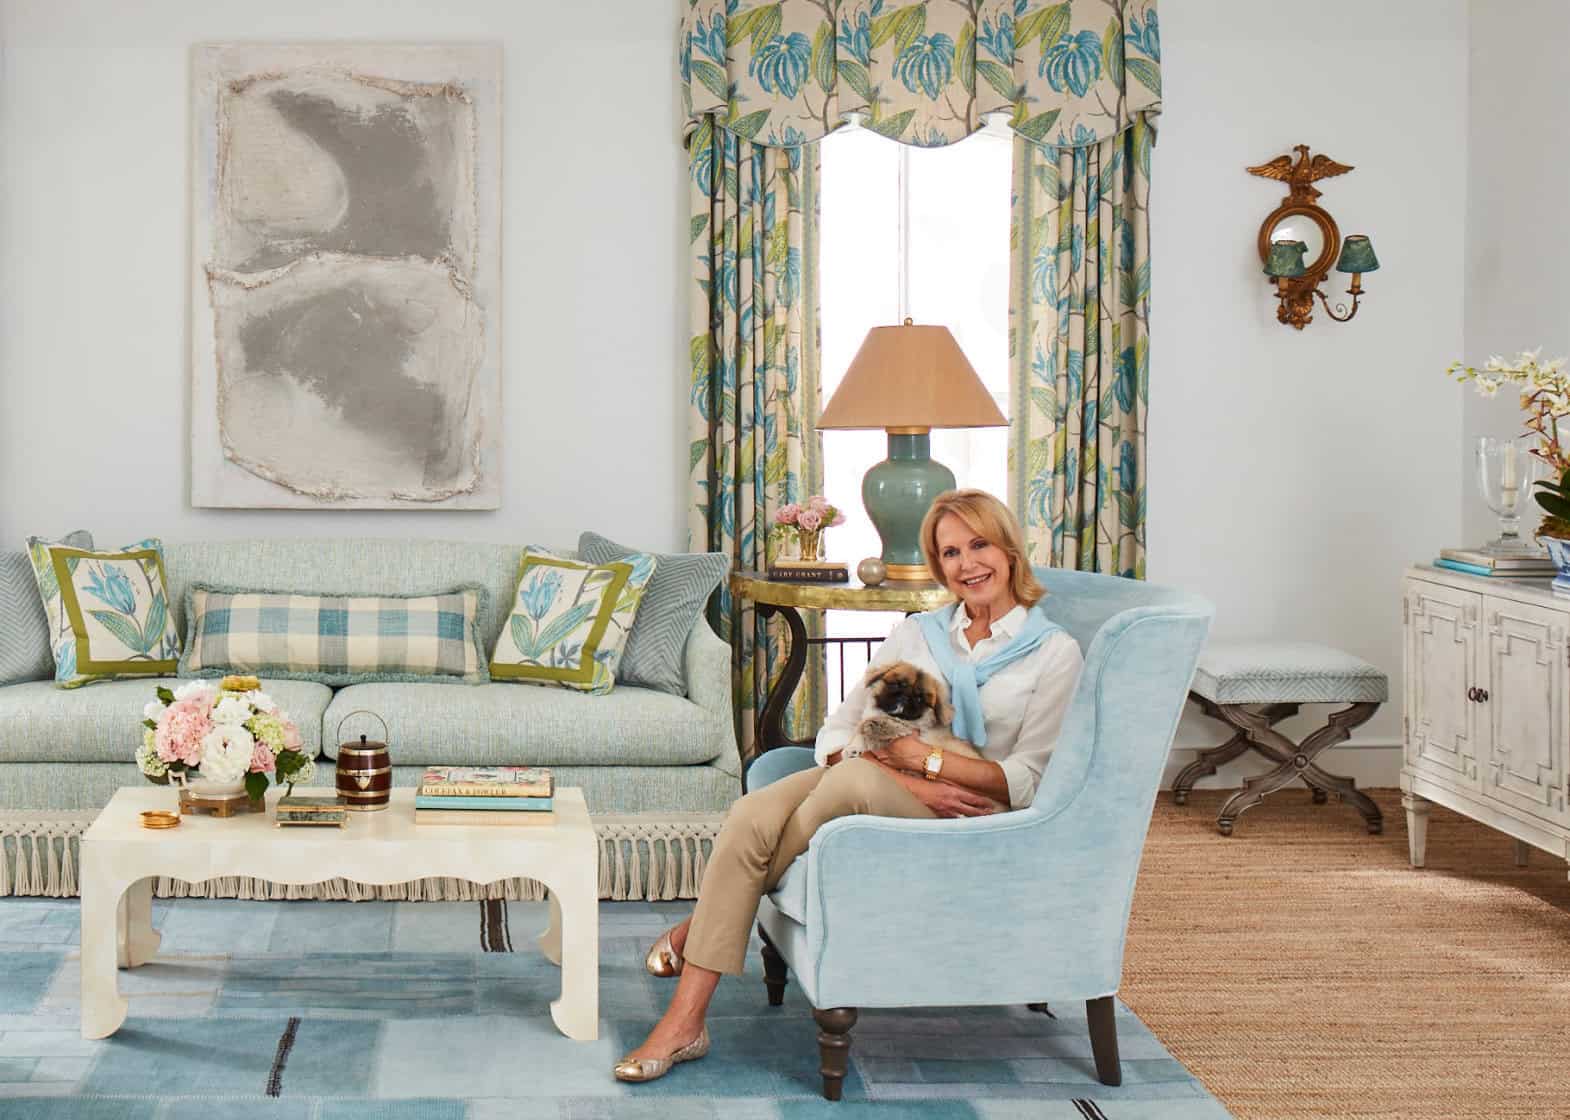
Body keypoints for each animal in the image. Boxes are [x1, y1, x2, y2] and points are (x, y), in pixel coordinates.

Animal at [835, 662, 979, 760]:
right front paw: (852, 749)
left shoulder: (910, 727)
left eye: (920, 698)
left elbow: (887, 725)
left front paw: (875, 726)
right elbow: (859, 733)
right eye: (896, 685)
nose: (906, 696)